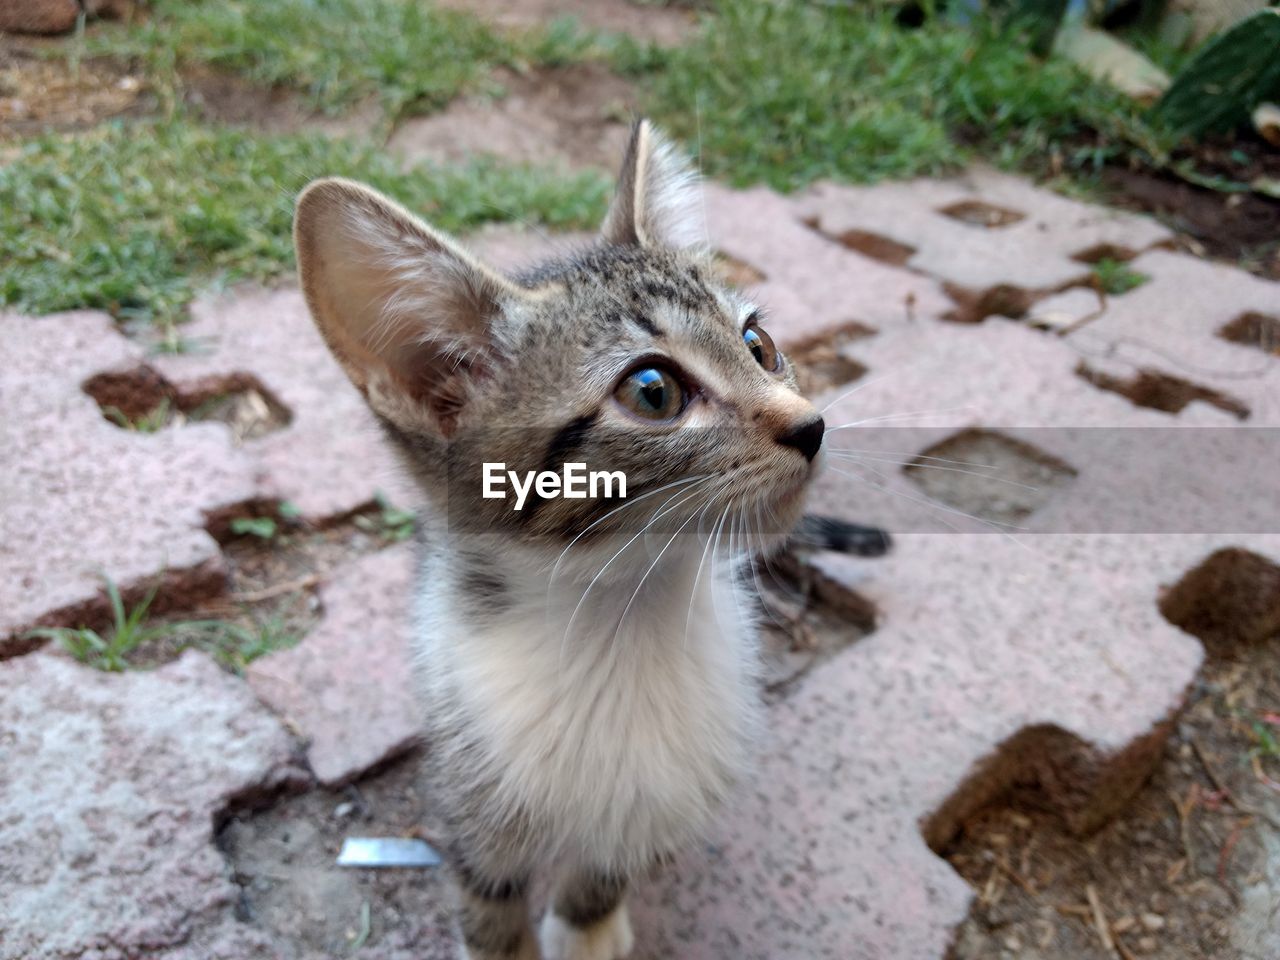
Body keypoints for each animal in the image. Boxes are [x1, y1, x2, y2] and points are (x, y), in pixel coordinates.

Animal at [293, 120, 829, 960]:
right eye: (653, 391)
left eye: (758, 343)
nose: (812, 426)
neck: (621, 619)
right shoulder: (468, 772)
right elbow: (488, 887)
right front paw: (504, 940)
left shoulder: (661, 785)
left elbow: (610, 857)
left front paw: (587, 924)